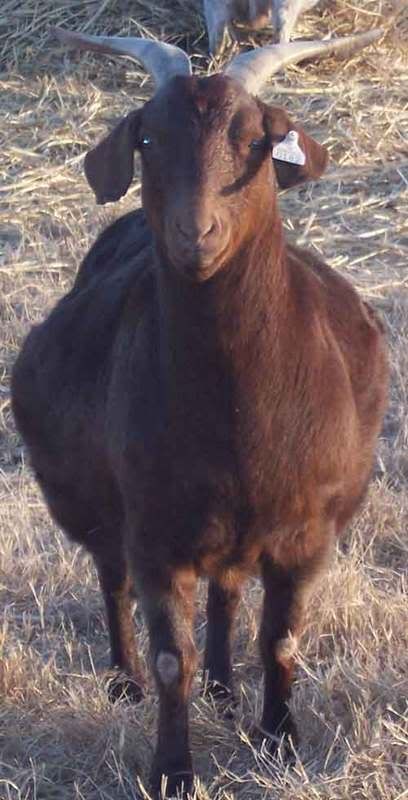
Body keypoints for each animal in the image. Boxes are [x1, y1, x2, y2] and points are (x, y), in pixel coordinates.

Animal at [12, 28, 388, 799]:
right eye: (149, 138)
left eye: (257, 140)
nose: (196, 235)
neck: (234, 403)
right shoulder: (155, 530)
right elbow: (169, 659)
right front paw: (174, 771)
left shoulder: (304, 530)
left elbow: (280, 639)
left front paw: (280, 740)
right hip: (106, 511)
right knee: (112, 580)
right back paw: (123, 682)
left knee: (229, 591)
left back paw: (223, 689)